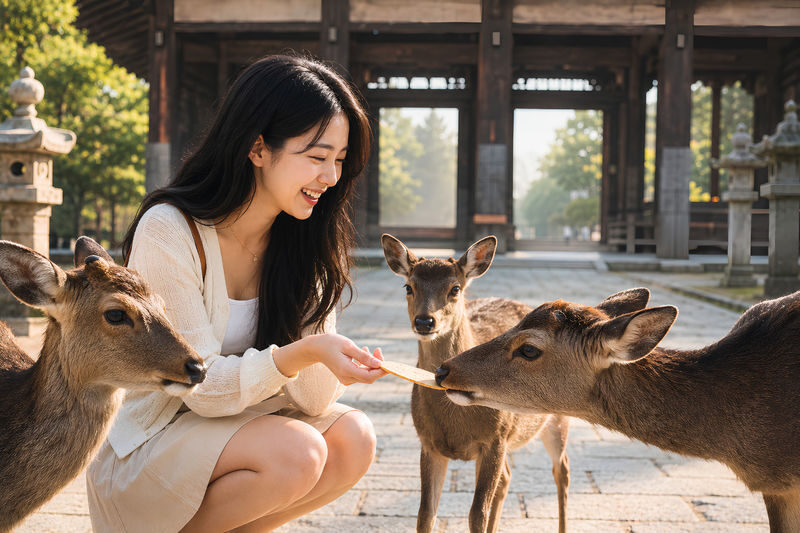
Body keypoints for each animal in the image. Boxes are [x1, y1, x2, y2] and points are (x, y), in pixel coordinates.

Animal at [382, 234, 570, 533]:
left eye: (455, 288)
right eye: (408, 286)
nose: (424, 321)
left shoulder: (495, 439)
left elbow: (476, 514)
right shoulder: (428, 442)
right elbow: (425, 513)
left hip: (558, 416)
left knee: (561, 469)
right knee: (508, 478)